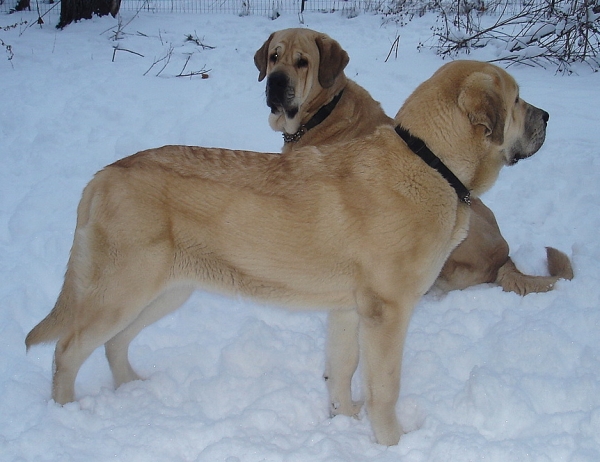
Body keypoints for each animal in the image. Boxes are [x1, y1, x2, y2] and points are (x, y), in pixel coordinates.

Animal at [29, 60, 548, 444]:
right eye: (517, 100)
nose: (546, 117)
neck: (430, 161)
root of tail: (103, 175)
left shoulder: (347, 311)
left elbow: (341, 369)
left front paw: (343, 419)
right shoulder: (388, 312)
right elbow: (385, 386)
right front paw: (392, 441)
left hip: (166, 290)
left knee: (114, 343)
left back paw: (132, 388)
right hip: (122, 290)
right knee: (68, 349)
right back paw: (67, 414)